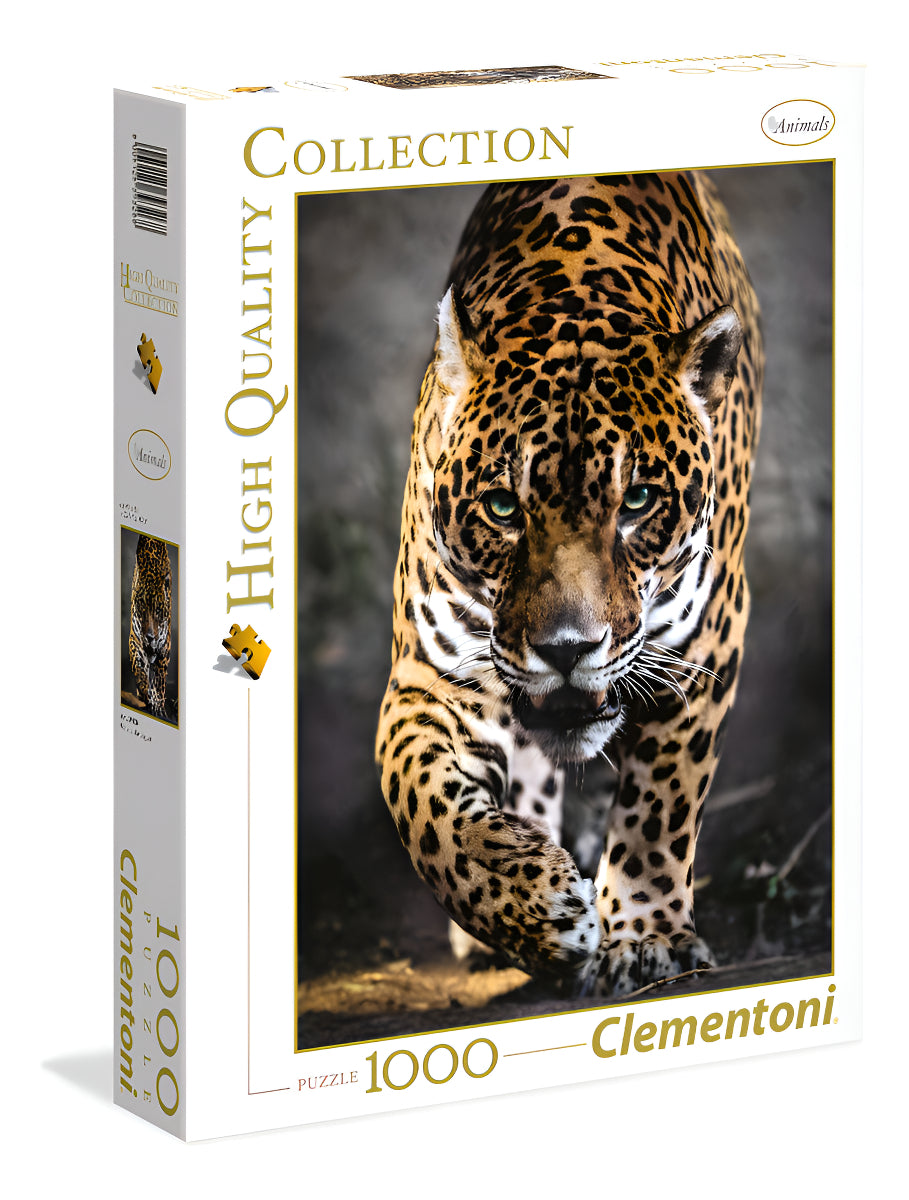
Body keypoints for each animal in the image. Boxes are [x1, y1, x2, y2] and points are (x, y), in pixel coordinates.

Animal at [375, 172, 763, 997]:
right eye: (502, 507)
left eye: (638, 502)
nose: (565, 649)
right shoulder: (431, 674)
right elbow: (422, 805)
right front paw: (533, 907)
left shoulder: (704, 643)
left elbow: (659, 803)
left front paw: (645, 937)